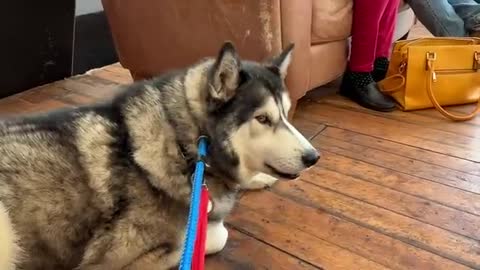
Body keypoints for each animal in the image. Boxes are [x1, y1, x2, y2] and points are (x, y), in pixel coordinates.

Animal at [1, 42, 320, 270]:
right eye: (263, 119)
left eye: (286, 113)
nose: (313, 157)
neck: (184, 147)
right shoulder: (113, 261)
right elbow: (213, 236)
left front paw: (260, 178)